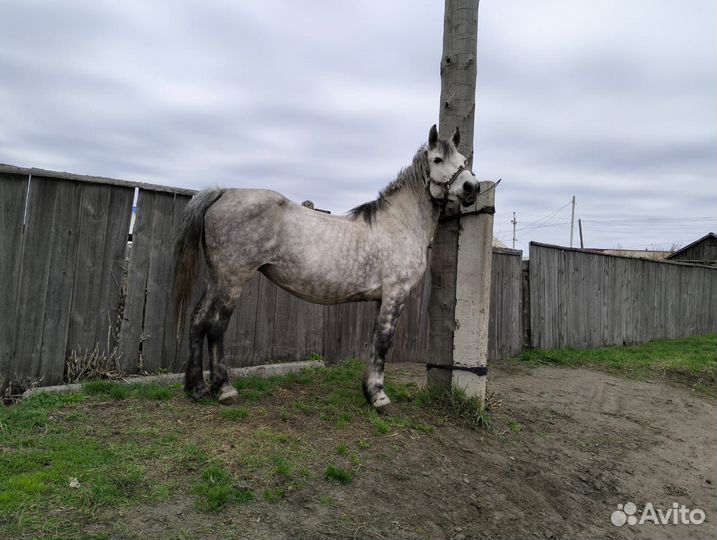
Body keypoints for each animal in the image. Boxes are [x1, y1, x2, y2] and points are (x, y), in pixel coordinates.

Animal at [174, 124, 480, 411]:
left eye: (463, 160)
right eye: (438, 159)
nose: (472, 188)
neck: (400, 224)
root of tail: (223, 193)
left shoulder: (380, 299)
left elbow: (373, 342)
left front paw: (369, 391)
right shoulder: (395, 294)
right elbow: (384, 342)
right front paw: (380, 398)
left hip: (216, 279)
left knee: (197, 320)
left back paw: (196, 387)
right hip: (232, 281)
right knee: (215, 327)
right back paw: (225, 390)